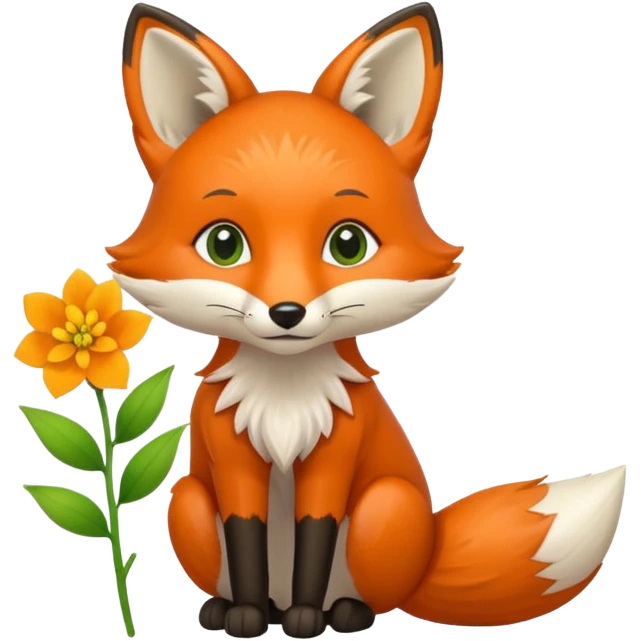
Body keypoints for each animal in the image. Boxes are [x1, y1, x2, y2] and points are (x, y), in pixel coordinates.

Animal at [113, 2, 628, 638]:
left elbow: (315, 538)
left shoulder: (338, 454)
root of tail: (427, 557)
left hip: (388, 505)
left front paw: (306, 618)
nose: (287, 313)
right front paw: (249, 617)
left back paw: (342, 612)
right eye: (224, 245)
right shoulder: (232, 461)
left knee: (376, 595)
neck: (285, 399)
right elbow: (246, 540)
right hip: (186, 499)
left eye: (348, 245)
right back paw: (233, 607)